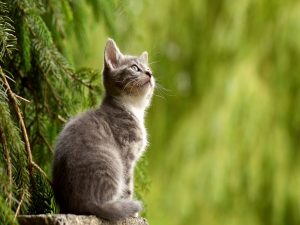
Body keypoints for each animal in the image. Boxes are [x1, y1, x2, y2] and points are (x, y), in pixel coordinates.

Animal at [52, 38, 155, 220]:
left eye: (149, 69)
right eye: (135, 68)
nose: (149, 74)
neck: (132, 108)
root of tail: (83, 204)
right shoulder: (126, 155)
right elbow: (128, 186)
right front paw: (133, 214)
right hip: (113, 163)